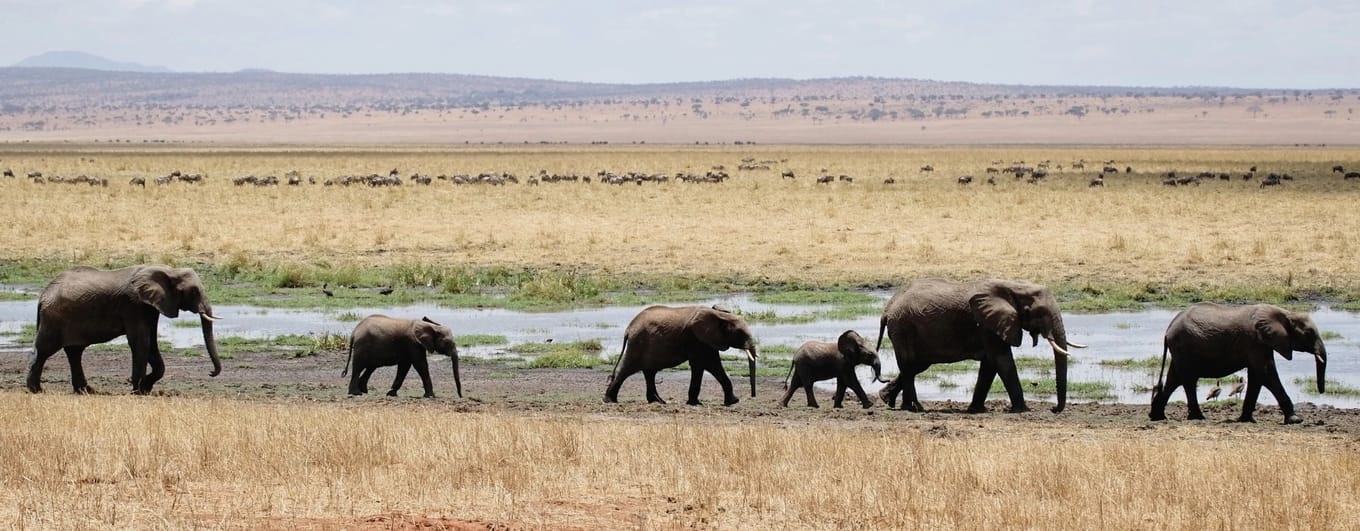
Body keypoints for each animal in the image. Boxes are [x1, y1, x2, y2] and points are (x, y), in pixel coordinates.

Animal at [25, 265, 223, 394]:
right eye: (194, 292)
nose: (211, 373)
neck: (169, 270)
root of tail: (43, 295)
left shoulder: (150, 306)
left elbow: (151, 342)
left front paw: (145, 388)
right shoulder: (133, 304)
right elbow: (141, 341)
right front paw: (137, 390)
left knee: (74, 352)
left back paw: (86, 391)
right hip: (54, 319)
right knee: (44, 350)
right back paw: (36, 390)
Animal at [603, 304, 756, 405]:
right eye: (740, 333)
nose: (753, 396)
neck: (721, 315)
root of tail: (629, 328)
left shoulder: (707, 340)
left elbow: (713, 365)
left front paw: (732, 401)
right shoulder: (696, 339)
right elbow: (704, 364)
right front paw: (696, 403)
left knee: (649, 372)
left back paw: (658, 401)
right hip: (637, 343)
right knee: (627, 370)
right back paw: (610, 401)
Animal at [875, 277, 1088, 413]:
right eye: (1037, 312)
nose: (1053, 409)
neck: (1014, 286)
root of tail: (887, 309)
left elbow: (990, 365)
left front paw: (976, 409)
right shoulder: (988, 324)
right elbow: (1002, 360)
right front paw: (1022, 410)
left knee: (915, 366)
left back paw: (890, 401)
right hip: (903, 327)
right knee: (909, 365)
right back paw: (914, 408)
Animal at [1147, 302, 1327, 422]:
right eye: (1309, 333)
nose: (1321, 392)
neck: (1286, 313)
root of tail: (1168, 329)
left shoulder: (1262, 342)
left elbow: (1256, 377)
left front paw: (1246, 420)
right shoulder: (1255, 341)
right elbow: (1266, 373)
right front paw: (1296, 420)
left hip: (1181, 350)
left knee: (1174, 379)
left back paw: (1158, 416)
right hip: (1184, 346)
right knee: (1188, 380)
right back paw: (1198, 417)